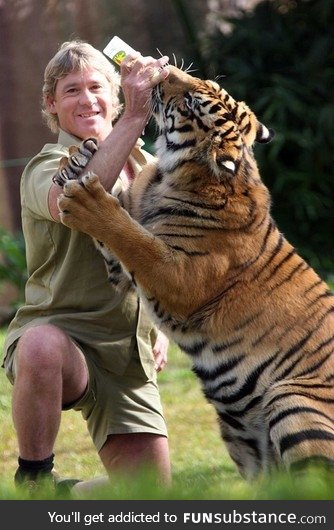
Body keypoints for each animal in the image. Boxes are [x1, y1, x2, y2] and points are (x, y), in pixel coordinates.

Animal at [55, 65, 334, 478]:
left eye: (189, 102)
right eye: (208, 84)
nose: (164, 71)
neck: (174, 172)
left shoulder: (178, 280)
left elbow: (133, 238)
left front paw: (86, 200)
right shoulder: (120, 268)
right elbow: (120, 223)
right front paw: (77, 158)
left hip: (291, 399)